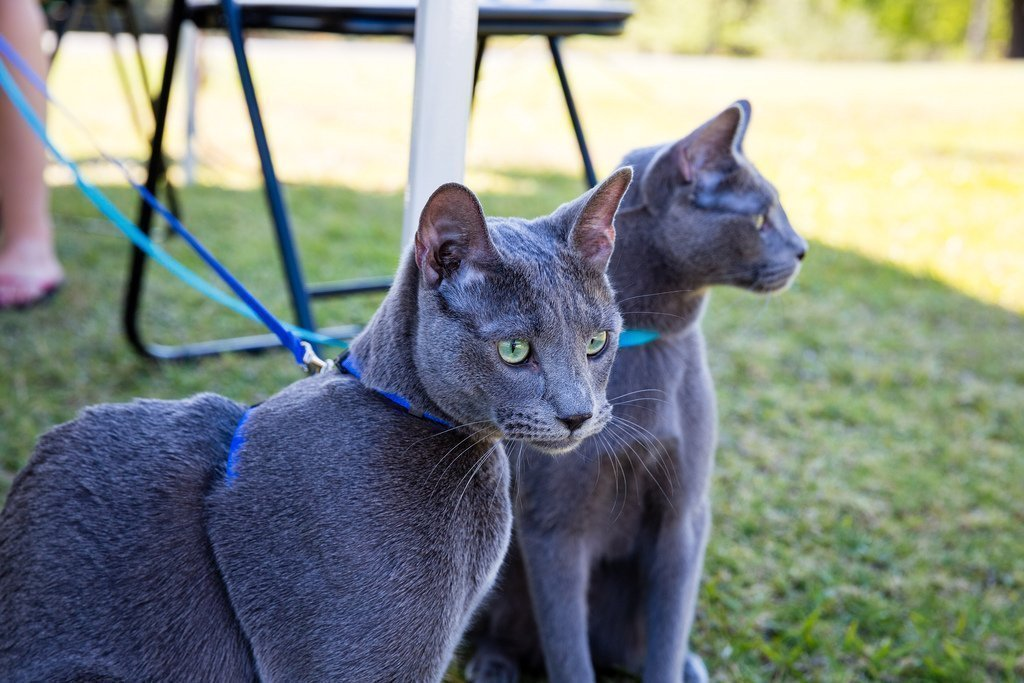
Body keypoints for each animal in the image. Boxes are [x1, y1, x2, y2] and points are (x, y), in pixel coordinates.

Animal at [468, 101, 811, 683]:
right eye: (762, 218)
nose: (803, 250)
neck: (646, 342)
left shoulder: (684, 518)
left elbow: (668, 632)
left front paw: (676, 663)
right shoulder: (553, 527)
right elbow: (568, 649)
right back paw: (494, 663)